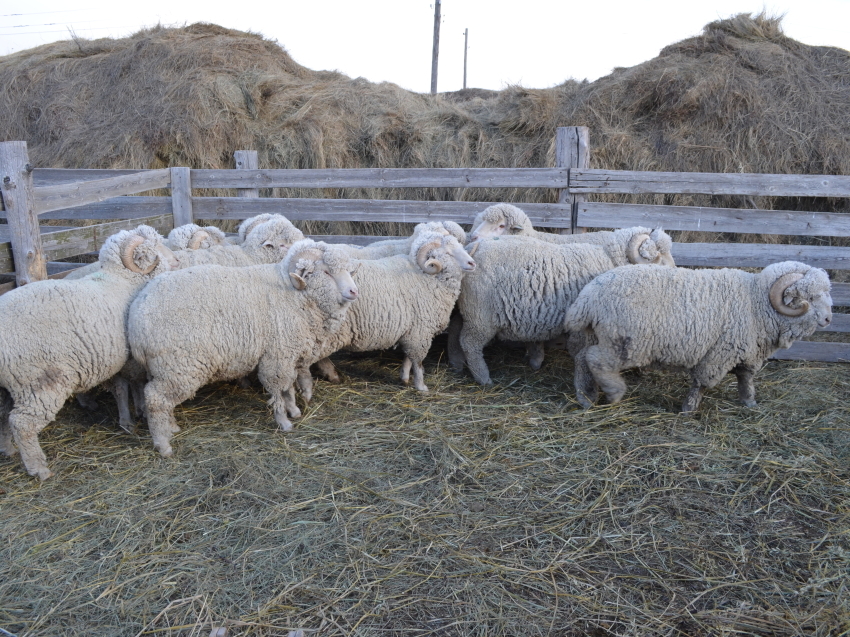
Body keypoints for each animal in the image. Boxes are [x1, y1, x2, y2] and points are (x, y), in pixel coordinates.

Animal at [0, 224, 177, 476]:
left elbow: (124, 388)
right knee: (22, 423)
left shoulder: (117, 360)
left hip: (7, 386)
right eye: (154, 249)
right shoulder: (128, 360)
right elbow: (131, 386)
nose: (177, 260)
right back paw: (38, 469)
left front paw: (131, 416)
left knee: (3, 416)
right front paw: (136, 415)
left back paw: (7, 449)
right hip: (38, 382)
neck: (123, 281)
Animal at [127, 238, 360, 458]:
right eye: (327, 272)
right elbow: (278, 389)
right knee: (156, 400)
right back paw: (163, 445)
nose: (354, 291)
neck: (295, 296)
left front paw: (293, 409)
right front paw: (284, 421)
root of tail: (136, 314)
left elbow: (289, 387)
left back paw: (172, 427)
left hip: (161, 368)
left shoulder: (288, 355)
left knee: (161, 399)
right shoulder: (277, 356)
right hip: (179, 366)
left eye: (348, 271)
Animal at [300, 229, 476, 398]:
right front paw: (421, 387)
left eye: (459, 246)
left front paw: (404, 378)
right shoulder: (420, 332)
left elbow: (408, 358)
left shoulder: (412, 330)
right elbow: (418, 362)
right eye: (447, 253)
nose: (472, 263)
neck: (426, 277)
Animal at [560, 260, 832, 412]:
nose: (829, 319)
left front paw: (749, 402)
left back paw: (586, 397)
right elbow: (702, 382)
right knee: (596, 360)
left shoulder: (747, 349)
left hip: (596, 334)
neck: (755, 302)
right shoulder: (720, 352)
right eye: (809, 297)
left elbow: (745, 378)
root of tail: (588, 297)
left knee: (582, 358)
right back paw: (614, 393)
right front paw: (688, 408)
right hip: (625, 342)